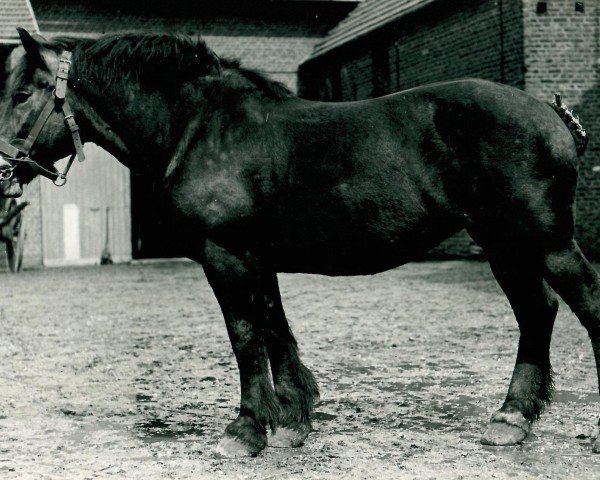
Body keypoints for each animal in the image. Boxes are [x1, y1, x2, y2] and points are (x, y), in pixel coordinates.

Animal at [1, 28, 600, 456]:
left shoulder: (226, 255)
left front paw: (245, 430)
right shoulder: (256, 258)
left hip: (543, 242)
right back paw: (512, 418)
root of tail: (550, 113)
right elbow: (275, 329)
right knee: (537, 313)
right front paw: (293, 420)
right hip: (504, 245)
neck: (201, 128)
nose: (2, 169)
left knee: (583, 305)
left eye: (23, 93)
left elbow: (245, 335)